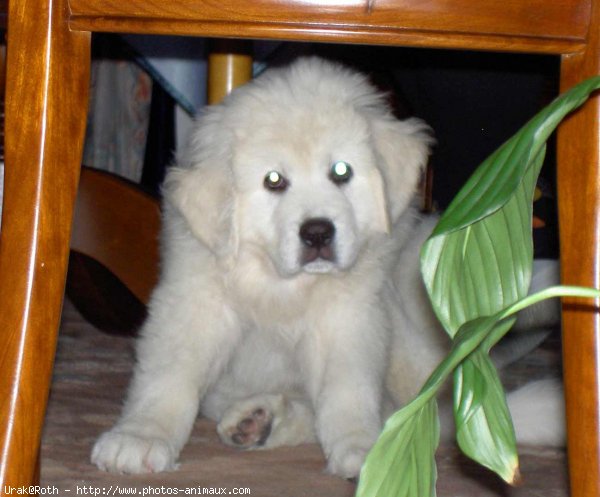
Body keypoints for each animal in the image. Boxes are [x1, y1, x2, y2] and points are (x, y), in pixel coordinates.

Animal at [90, 57, 564, 476]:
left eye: (341, 171)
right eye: (274, 181)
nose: (317, 233)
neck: (280, 286)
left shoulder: (350, 318)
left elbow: (347, 389)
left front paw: (366, 451)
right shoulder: (194, 301)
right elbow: (168, 377)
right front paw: (140, 436)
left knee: (416, 413)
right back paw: (256, 419)